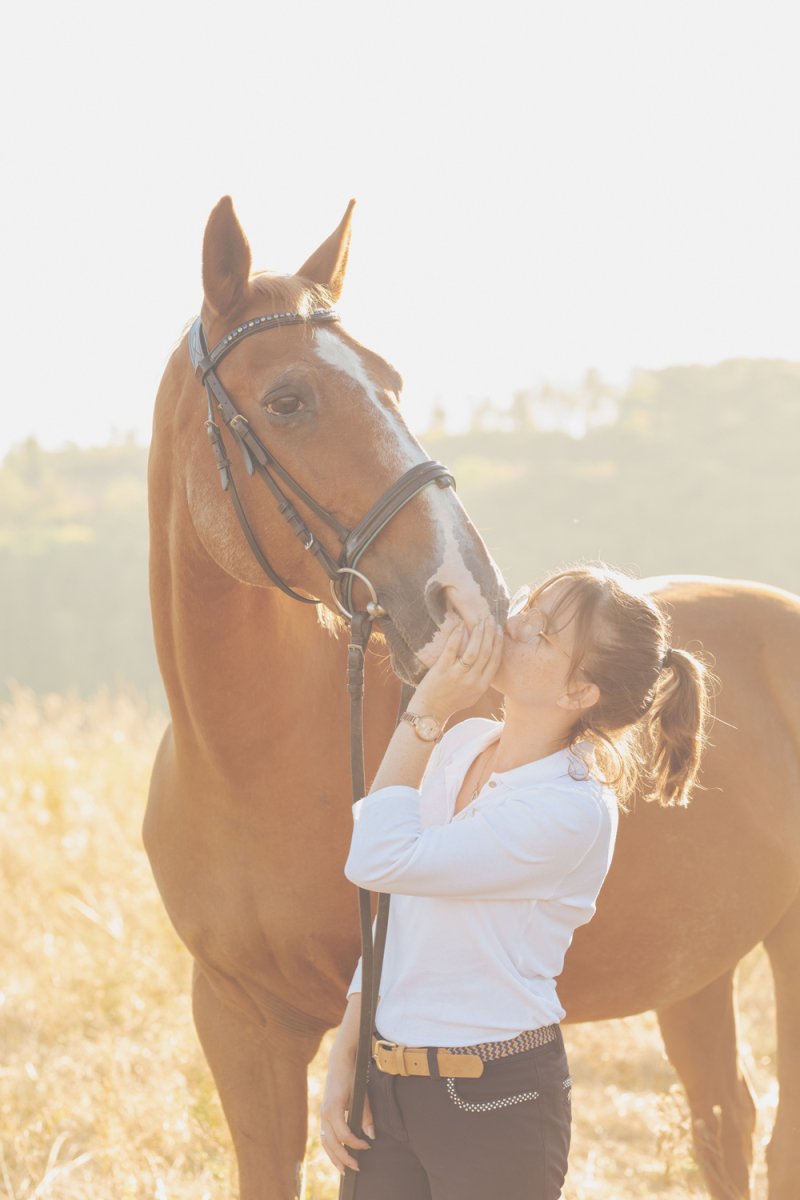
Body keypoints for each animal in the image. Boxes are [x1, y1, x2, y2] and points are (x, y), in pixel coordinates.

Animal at [146, 198, 800, 1200]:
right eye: (288, 399)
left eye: (391, 381)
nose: (471, 592)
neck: (244, 761)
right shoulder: (238, 1023)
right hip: (699, 970)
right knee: (726, 1121)